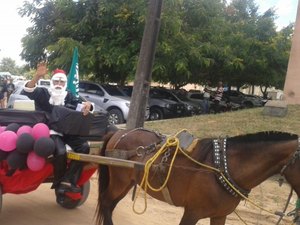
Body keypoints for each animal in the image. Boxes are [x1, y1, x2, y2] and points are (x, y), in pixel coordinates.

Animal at [96, 128, 300, 225]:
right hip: (119, 181)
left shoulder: (219, 216)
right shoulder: (192, 212)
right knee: (106, 202)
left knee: (110, 205)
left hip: (127, 183)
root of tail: (119, 132)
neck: (224, 167)